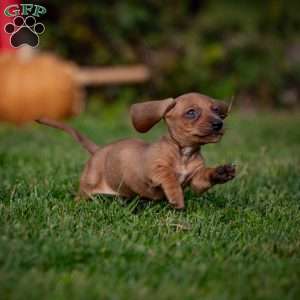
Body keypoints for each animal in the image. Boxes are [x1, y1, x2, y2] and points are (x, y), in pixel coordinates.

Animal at [37, 92, 234, 210]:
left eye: (216, 110)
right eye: (191, 112)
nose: (218, 124)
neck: (183, 153)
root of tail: (99, 151)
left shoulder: (196, 179)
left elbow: (204, 177)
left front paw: (221, 172)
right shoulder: (155, 171)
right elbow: (170, 178)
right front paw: (176, 198)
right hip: (87, 187)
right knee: (81, 196)